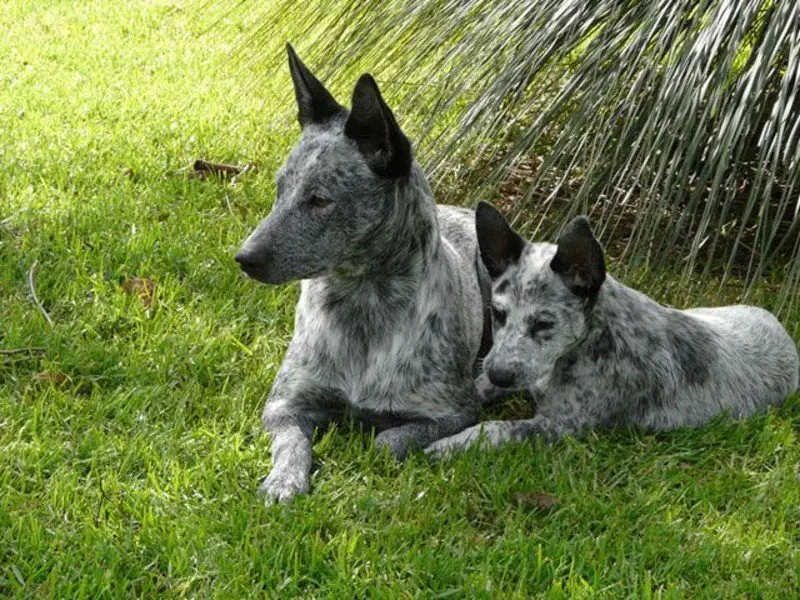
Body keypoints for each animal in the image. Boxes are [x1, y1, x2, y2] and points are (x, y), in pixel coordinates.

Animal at [234, 47, 490, 504]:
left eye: (319, 199)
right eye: (280, 190)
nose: (244, 258)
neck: (362, 305)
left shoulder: (454, 412)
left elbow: (386, 441)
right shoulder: (284, 405)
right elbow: (291, 442)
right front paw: (284, 480)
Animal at [422, 204, 796, 458]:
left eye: (544, 324)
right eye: (497, 314)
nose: (500, 374)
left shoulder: (559, 427)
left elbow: (495, 428)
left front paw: (450, 443)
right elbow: (475, 387)